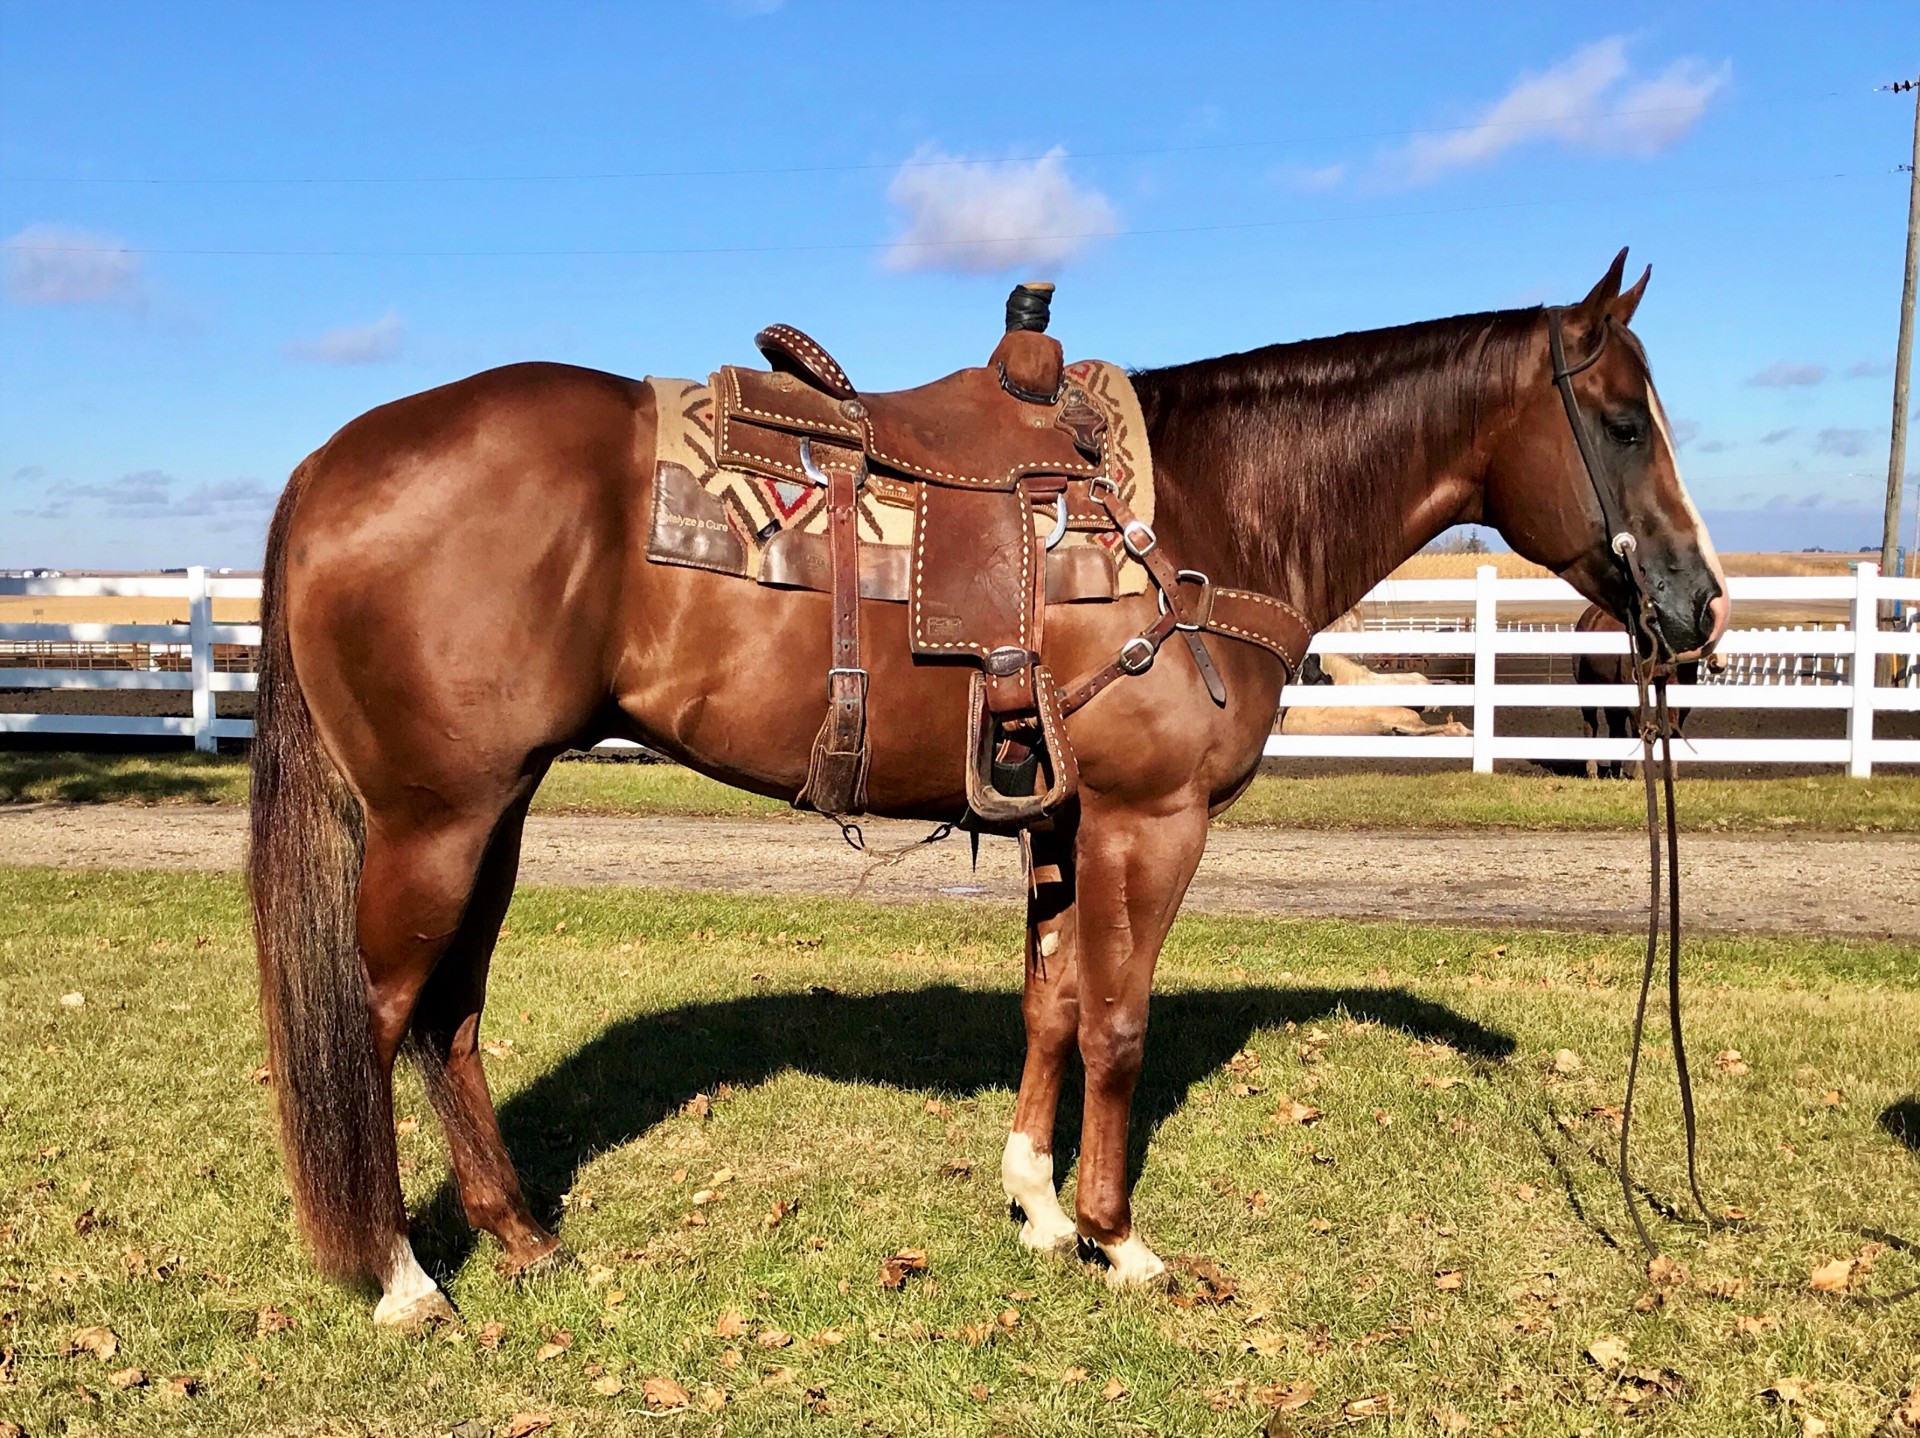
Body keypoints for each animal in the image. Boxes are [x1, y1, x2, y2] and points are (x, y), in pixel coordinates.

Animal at [247, 249, 1735, 1320]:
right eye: (1621, 421)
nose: (1698, 606)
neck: (1207, 512)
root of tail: (324, 467)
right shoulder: (1149, 819)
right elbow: (1122, 1021)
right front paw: (1120, 1237)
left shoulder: (1061, 818)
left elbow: (1054, 1001)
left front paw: (1037, 1202)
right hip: (436, 823)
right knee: (373, 1020)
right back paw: (401, 1277)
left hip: (493, 813)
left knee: (451, 1017)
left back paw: (519, 1234)